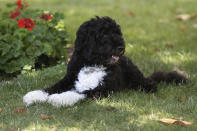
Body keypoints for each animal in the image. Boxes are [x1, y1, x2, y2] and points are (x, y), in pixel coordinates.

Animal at [23, 16, 188, 107]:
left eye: (117, 33)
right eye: (104, 35)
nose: (121, 47)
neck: (92, 64)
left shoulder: (102, 89)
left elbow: (80, 92)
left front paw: (60, 98)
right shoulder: (69, 79)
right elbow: (51, 88)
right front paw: (34, 95)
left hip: (137, 78)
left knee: (150, 84)